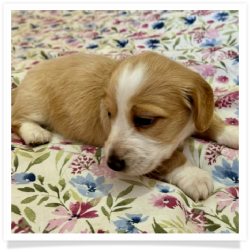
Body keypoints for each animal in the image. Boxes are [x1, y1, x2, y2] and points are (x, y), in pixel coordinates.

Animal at [11, 51, 238, 202]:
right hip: (36, 103)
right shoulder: (154, 158)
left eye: (145, 120)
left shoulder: (198, 117)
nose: (112, 164)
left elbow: (211, 123)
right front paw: (193, 176)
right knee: (16, 118)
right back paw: (35, 132)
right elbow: (169, 157)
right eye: (109, 114)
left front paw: (232, 132)